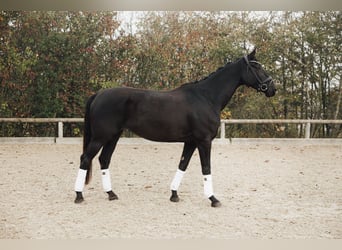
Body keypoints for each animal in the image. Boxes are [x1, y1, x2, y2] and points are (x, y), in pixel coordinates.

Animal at [73, 48, 276, 207]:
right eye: (257, 66)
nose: (272, 88)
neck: (206, 97)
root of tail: (98, 94)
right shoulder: (204, 141)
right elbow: (206, 168)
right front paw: (213, 199)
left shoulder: (191, 142)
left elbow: (183, 165)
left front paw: (174, 195)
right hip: (101, 137)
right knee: (85, 158)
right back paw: (79, 196)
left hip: (113, 136)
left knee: (104, 160)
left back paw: (111, 194)